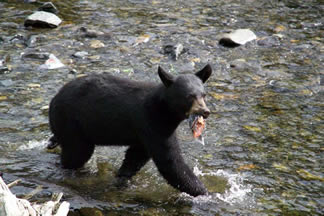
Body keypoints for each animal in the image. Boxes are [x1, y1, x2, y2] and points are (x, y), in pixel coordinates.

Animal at [48, 63, 213, 196]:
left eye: (204, 95)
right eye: (189, 96)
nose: (205, 111)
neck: (165, 110)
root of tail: (54, 99)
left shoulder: (144, 133)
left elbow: (136, 156)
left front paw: (122, 177)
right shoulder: (153, 123)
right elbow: (170, 161)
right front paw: (204, 193)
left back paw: (53, 142)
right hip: (71, 123)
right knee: (77, 153)